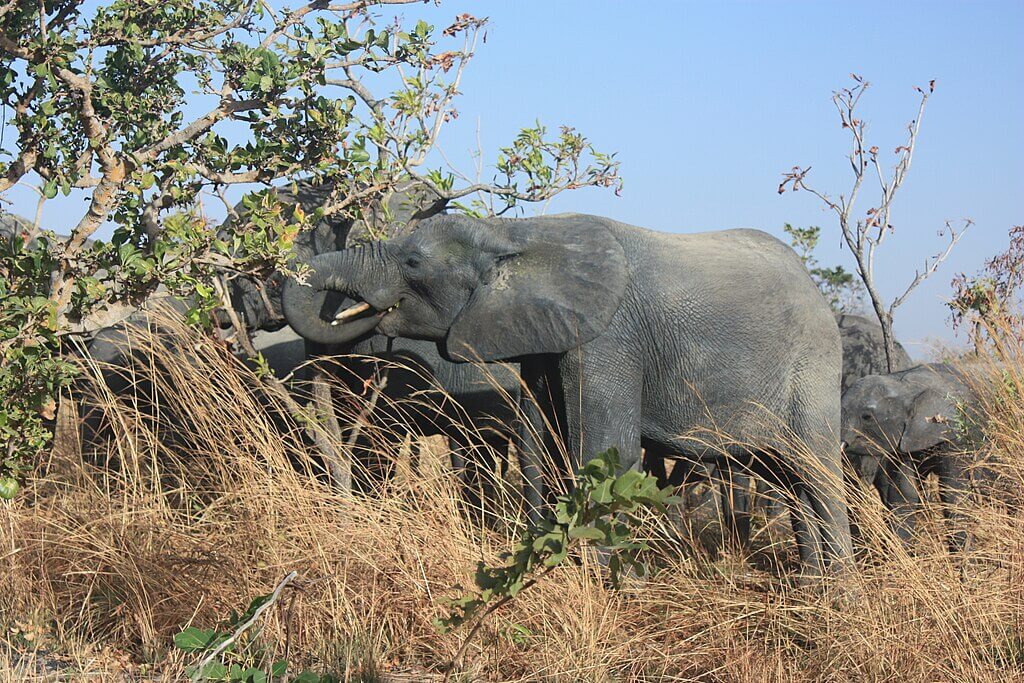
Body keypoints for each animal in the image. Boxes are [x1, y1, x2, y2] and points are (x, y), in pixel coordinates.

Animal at [281, 212, 853, 575]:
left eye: (414, 264)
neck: (515, 234)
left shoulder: (608, 340)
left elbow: (602, 451)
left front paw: (604, 584)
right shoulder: (544, 337)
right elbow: (548, 445)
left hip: (813, 368)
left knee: (817, 473)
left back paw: (838, 595)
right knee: (789, 479)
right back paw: (811, 589)